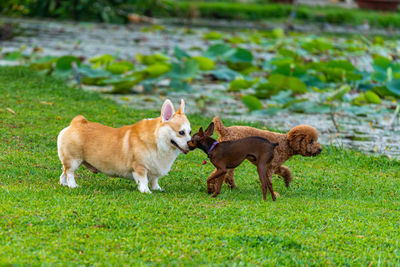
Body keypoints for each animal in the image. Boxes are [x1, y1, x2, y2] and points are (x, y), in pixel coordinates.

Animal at [56, 99, 192, 194]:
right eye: (181, 132)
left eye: (190, 132)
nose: (191, 145)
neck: (158, 139)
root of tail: (77, 122)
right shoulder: (140, 167)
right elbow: (143, 180)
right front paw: (146, 191)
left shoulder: (154, 169)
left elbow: (154, 180)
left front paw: (157, 189)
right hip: (74, 160)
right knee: (69, 173)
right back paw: (73, 185)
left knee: (63, 173)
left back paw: (64, 184)